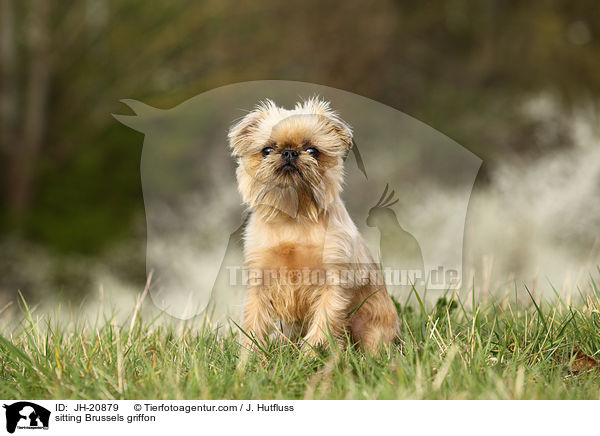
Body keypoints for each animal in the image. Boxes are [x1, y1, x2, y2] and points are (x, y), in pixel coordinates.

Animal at [229, 97, 398, 352]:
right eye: (266, 151)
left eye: (312, 151)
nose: (289, 152)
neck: (293, 217)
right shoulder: (260, 280)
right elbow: (254, 321)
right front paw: (251, 354)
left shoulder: (333, 282)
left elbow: (324, 322)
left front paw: (311, 354)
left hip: (372, 327)